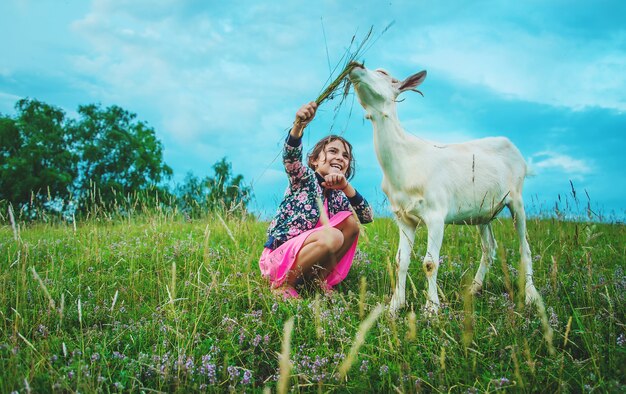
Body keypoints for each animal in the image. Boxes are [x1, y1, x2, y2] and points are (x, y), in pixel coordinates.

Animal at [348, 62, 540, 314]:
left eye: (382, 73)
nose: (354, 66)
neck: (407, 157)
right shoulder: (403, 217)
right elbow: (401, 261)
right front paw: (395, 306)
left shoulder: (436, 214)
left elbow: (429, 263)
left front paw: (431, 309)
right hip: (483, 212)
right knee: (489, 248)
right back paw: (473, 289)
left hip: (516, 199)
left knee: (524, 249)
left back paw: (531, 295)